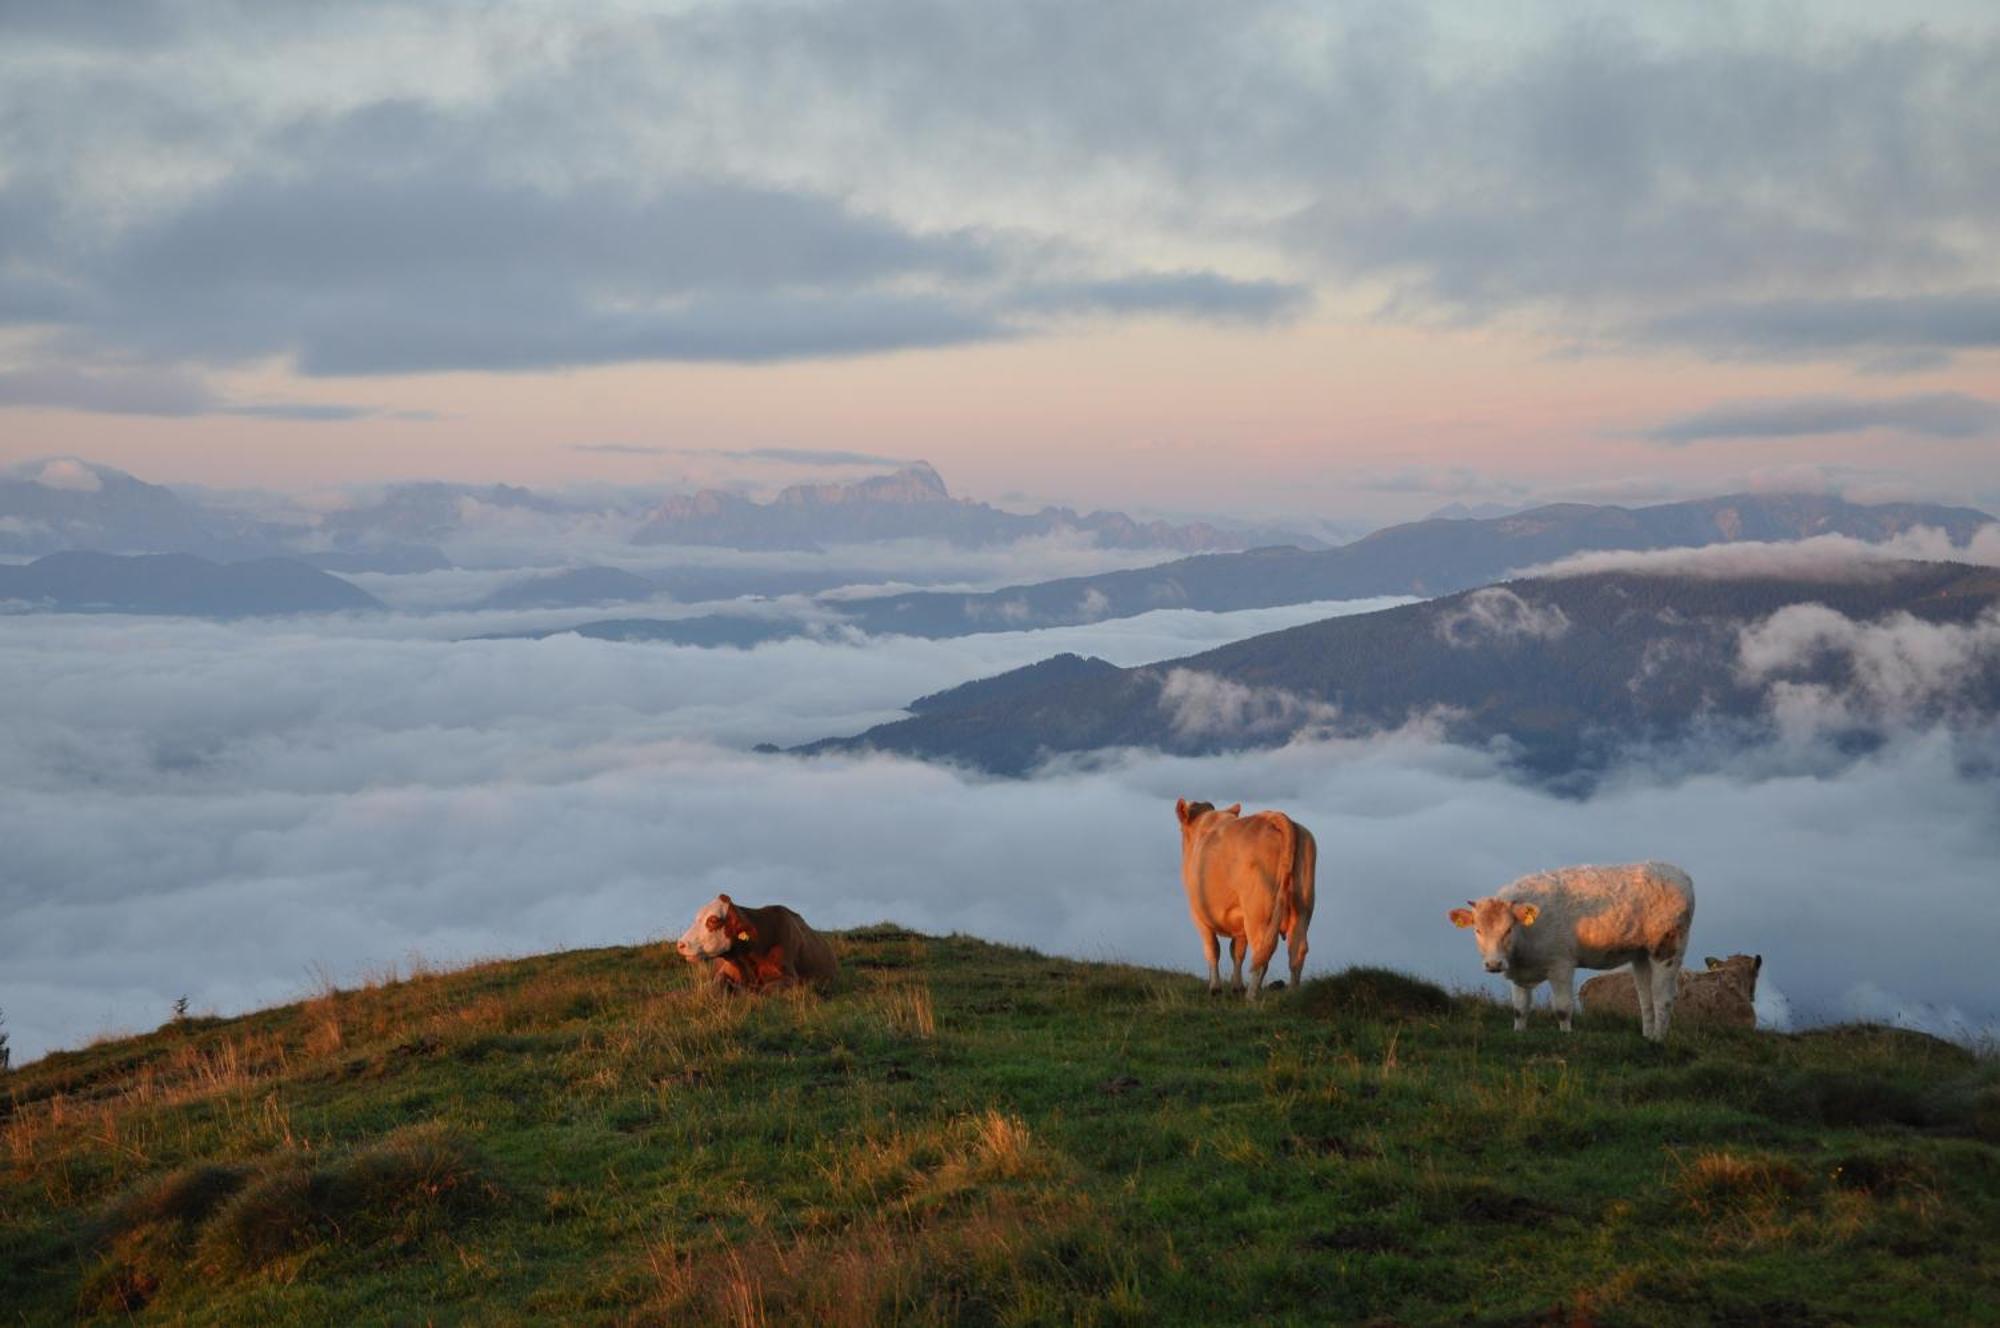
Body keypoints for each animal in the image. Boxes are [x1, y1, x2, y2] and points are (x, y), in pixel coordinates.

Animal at [676, 896, 840, 992]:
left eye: (713, 920)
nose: (680, 944)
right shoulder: (723, 973)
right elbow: (717, 984)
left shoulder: (791, 978)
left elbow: (765, 989)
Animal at [1176, 792, 1320, 1000]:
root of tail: (1276, 817)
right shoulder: (1239, 920)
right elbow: (1237, 951)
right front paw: (1236, 986)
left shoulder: (1200, 916)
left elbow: (1213, 950)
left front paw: (1215, 988)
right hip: (1302, 906)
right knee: (1297, 951)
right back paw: (1293, 994)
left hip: (1257, 912)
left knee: (1261, 952)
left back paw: (1252, 996)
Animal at [1448, 868, 1696, 1040]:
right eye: (1477, 930)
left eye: (1508, 928)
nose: (1494, 964)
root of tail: (1679, 874)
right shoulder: (1517, 971)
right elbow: (1519, 1009)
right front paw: (1519, 1033)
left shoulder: (1561, 965)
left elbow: (1562, 1009)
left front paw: (1566, 1035)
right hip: (1641, 954)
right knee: (1646, 998)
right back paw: (1647, 1036)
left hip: (1668, 948)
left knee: (1663, 996)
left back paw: (1658, 1039)